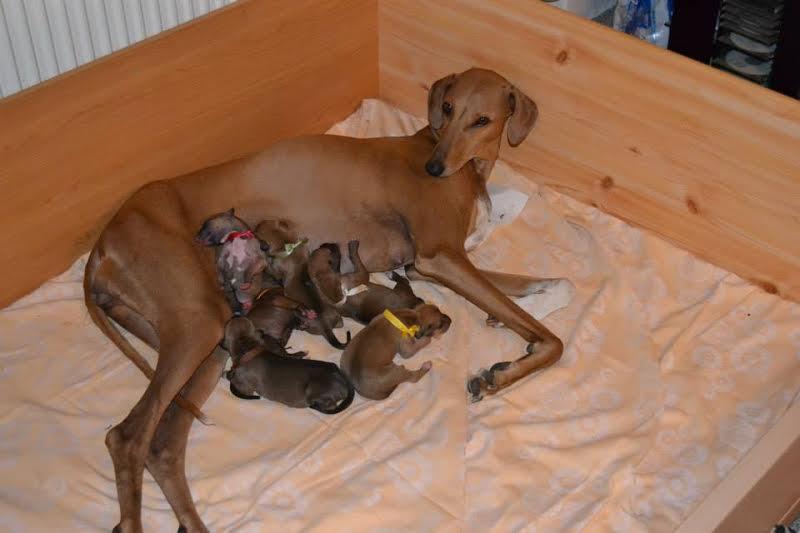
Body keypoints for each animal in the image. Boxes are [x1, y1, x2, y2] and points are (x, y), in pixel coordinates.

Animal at [223, 317, 354, 414]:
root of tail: (344, 380)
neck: (249, 348)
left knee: (329, 405)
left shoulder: (246, 387)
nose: (236, 316)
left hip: (314, 392)